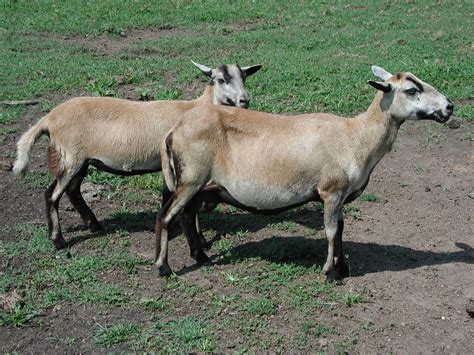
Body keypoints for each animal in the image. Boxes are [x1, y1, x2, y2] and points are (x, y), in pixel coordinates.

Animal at [12, 61, 262, 249]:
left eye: (244, 77)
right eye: (221, 79)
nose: (244, 101)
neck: (197, 107)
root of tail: (49, 118)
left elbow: (167, 195)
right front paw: (197, 238)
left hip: (81, 160)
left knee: (73, 191)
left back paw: (94, 225)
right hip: (70, 157)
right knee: (52, 195)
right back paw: (59, 240)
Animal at [156, 65, 452, 280]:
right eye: (412, 90)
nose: (449, 106)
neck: (357, 137)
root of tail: (173, 132)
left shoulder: (340, 196)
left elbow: (341, 229)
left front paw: (343, 268)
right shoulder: (331, 190)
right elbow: (331, 231)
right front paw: (330, 272)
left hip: (201, 186)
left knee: (186, 215)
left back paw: (200, 256)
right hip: (191, 179)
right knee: (167, 216)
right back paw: (164, 268)